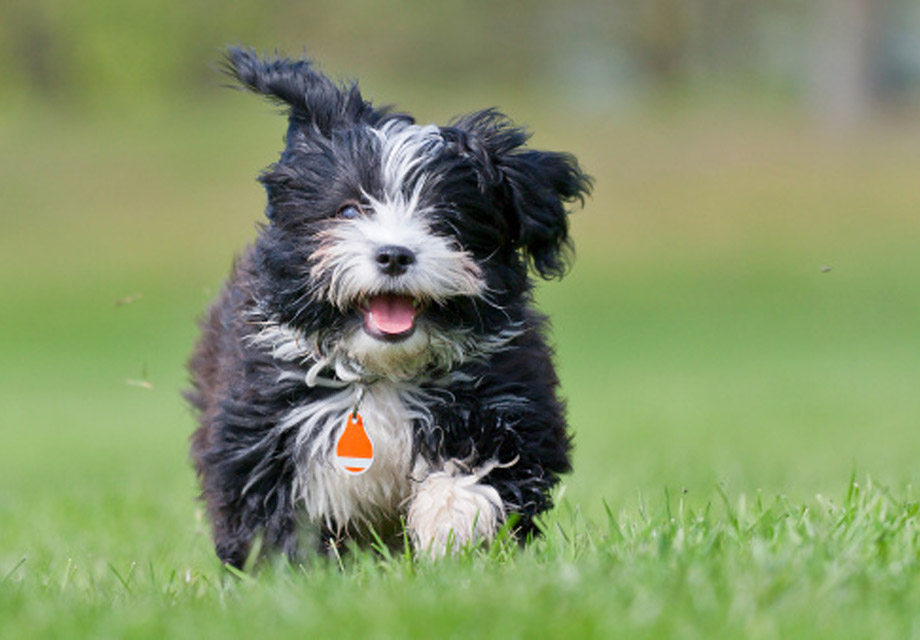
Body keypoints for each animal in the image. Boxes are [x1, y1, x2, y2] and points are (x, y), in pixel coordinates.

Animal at [187, 50, 588, 568]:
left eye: (445, 220)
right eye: (348, 211)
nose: (394, 255)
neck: (383, 375)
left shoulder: (508, 402)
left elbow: (478, 474)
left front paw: (452, 534)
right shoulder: (260, 430)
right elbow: (272, 520)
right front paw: (291, 574)